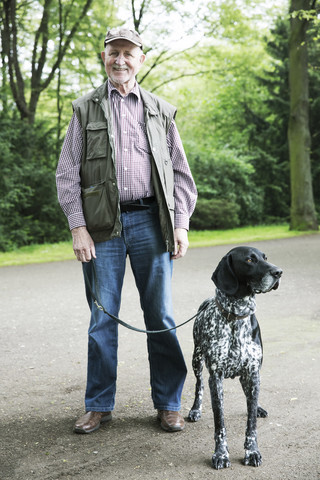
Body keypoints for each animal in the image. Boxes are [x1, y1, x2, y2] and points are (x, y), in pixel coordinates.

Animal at [188, 248, 282, 468]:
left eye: (265, 258)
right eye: (249, 260)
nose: (279, 272)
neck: (236, 316)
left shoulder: (253, 373)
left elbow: (251, 423)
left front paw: (252, 451)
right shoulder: (216, 378)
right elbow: (220, 422)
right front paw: (221, 454)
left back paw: (258, 408)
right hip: (196, 359)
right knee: (199, 385)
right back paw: (195, 409)